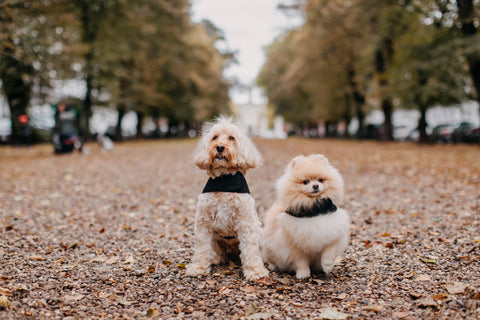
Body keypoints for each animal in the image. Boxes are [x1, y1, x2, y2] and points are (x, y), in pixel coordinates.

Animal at [187, 117, 270, 280]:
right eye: (214, 137)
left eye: (231, 138)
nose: (220, 147)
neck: (225, 180)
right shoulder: (204, 222)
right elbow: (201, 248)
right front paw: (198, 267)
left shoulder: (246, 222)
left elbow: (250, 249)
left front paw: (255, 271)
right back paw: (216, 258)